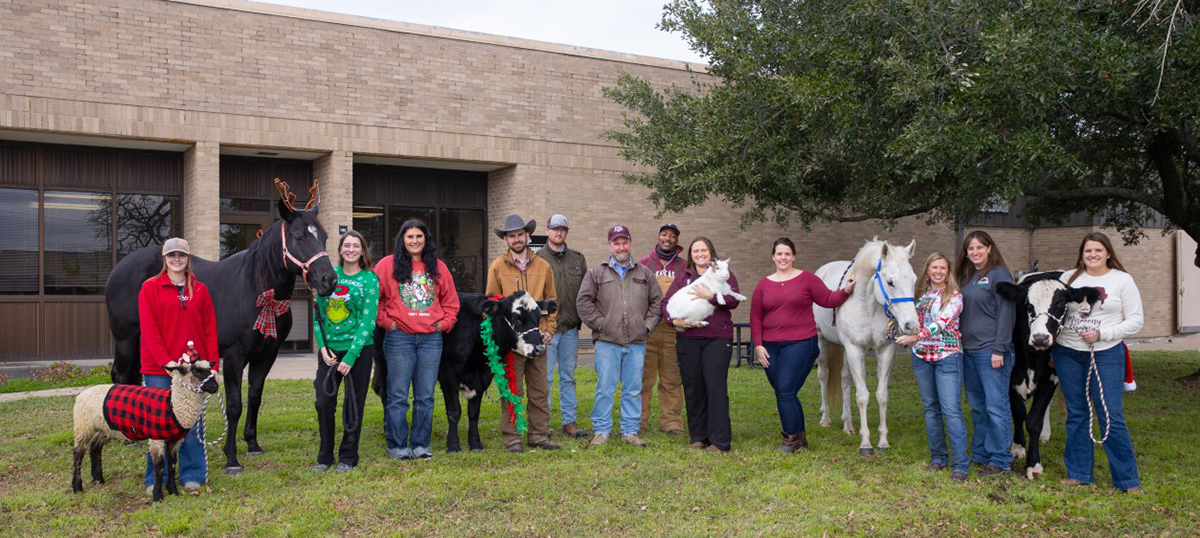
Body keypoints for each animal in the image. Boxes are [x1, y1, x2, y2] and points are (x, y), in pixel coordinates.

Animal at [71, 355, 219, 501]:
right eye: (196, 371)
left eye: (209, 369)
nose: (215, 386)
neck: (173, 406)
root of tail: (81, 395)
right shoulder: (156, 438)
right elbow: (159, 466)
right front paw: (158, 496)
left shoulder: (175, 440)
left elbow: (172, 464)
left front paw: (173, 491)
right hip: (83, 426)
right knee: (78, 454)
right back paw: (77, 487)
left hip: (104, 428)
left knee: (95, 448)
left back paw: (98, 479)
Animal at [105, 195, 336, 473]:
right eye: (299, 236)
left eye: (324, 236)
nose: (329, 280)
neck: (255, 289)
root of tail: (118, 268)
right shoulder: (235, 356)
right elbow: (235, 405)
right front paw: (231, 458)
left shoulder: (266, 355)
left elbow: (255, 397)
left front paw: (253, 444)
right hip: (126, 340)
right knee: (120, 376)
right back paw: (127, 438)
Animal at [369, 291, 556, 451]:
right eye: (517, 319)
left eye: (538, 318)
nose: (540, 349)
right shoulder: (448, 376)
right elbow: (454, 412)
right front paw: (453, 445)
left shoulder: (481, 378)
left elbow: (473, 413)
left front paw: (475, 444)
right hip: (385, 362)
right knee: (386, 396)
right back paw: (388, 430)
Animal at [816, 238, 916, 453]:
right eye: (890, 282)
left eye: (913, 280)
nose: (911, 325)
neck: (867, 305)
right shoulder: (855, 349)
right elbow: (862, 395)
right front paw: (866, 443)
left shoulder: (885, 351)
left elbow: (882, 395)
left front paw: (883, 441)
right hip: (823, 341)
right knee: (824, 374)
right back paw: (826, 418)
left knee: (845, 379)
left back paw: (848, 424)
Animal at [993, 273, 1099, 480]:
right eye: (1028, 306)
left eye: (1061, 303)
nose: (1041, 338)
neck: (1034, 358)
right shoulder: (1010, 378)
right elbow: (1018, 413)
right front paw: (1018, 447)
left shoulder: (1051, 379)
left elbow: (1034, 421)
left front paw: (1033, 464)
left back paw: (1045, 434)